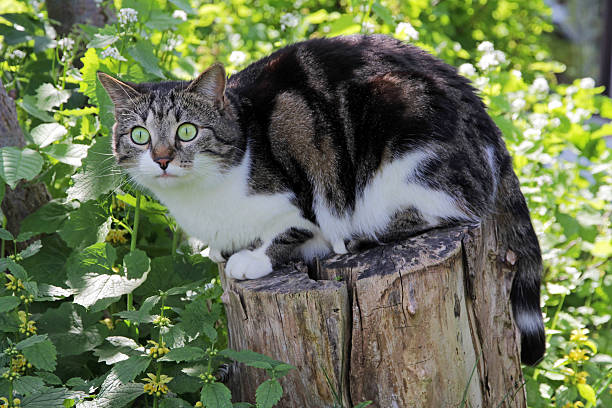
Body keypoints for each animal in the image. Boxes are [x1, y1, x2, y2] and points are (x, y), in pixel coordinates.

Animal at [99, 35, 544, 364]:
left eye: (187, 131)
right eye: (139, 135)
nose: (162, 159)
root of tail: (488, 127)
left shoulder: (305, 196)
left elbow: (290, 229)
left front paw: (253, 258)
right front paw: (220, 250)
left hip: (403, 149)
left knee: (451, 212)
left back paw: (357, 237)